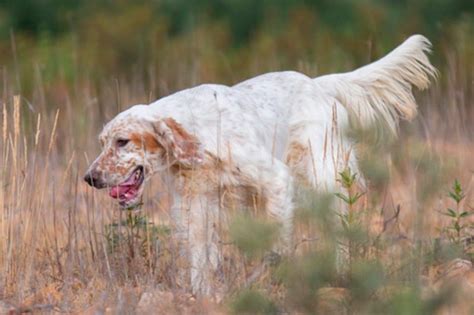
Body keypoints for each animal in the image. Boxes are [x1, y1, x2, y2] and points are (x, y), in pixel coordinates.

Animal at [83, 35, 436, 296]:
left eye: (122, 141)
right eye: (102, 141)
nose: (90, 177)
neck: (199, 132)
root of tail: (317, 83)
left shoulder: (275, 179)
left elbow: (275, 242)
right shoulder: (198, 201)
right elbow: (200, 254)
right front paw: (201, 293)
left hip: (322, 175)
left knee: (340, 229)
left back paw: (341, 274)